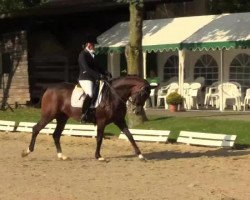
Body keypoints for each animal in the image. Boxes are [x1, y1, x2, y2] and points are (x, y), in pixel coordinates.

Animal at [21, 75, 150, 161]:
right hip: (49, 115)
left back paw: (62, 155)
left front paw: (140, 155)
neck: (114, 96)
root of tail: (49, 89)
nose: (137, 111)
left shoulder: (119, 120)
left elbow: (130, 136)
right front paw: (98, 156)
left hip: (62, 118)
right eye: (143, 94)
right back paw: (27, 151)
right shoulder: (101, 121)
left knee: (56, 134)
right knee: (36, 129)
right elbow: (99, 138)